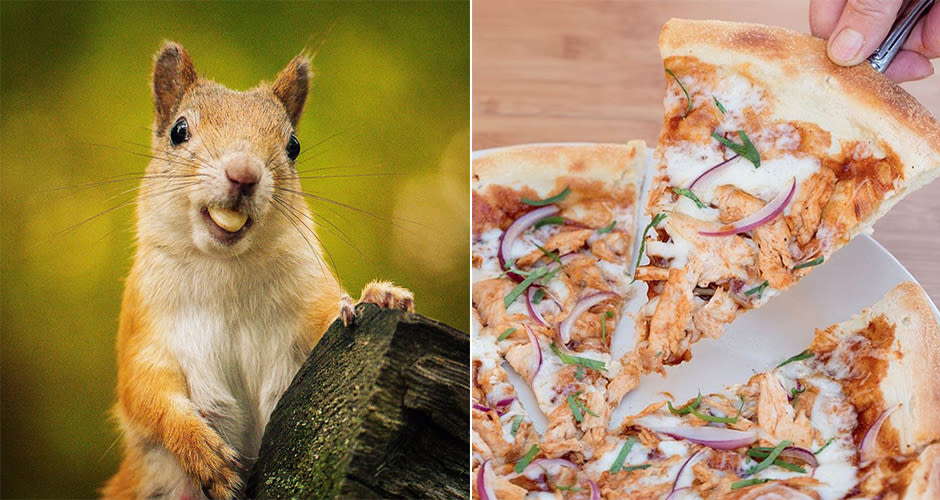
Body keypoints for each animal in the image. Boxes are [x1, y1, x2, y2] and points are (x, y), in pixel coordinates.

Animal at [101, 42, 414, 500]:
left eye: (294, 145)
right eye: (179, 130)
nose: (244, 174)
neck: (225, 266)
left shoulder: (307, 313)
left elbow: (329, 320)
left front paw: (378, 295)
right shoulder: (144, 333)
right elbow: (148, 397)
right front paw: (203, 452)